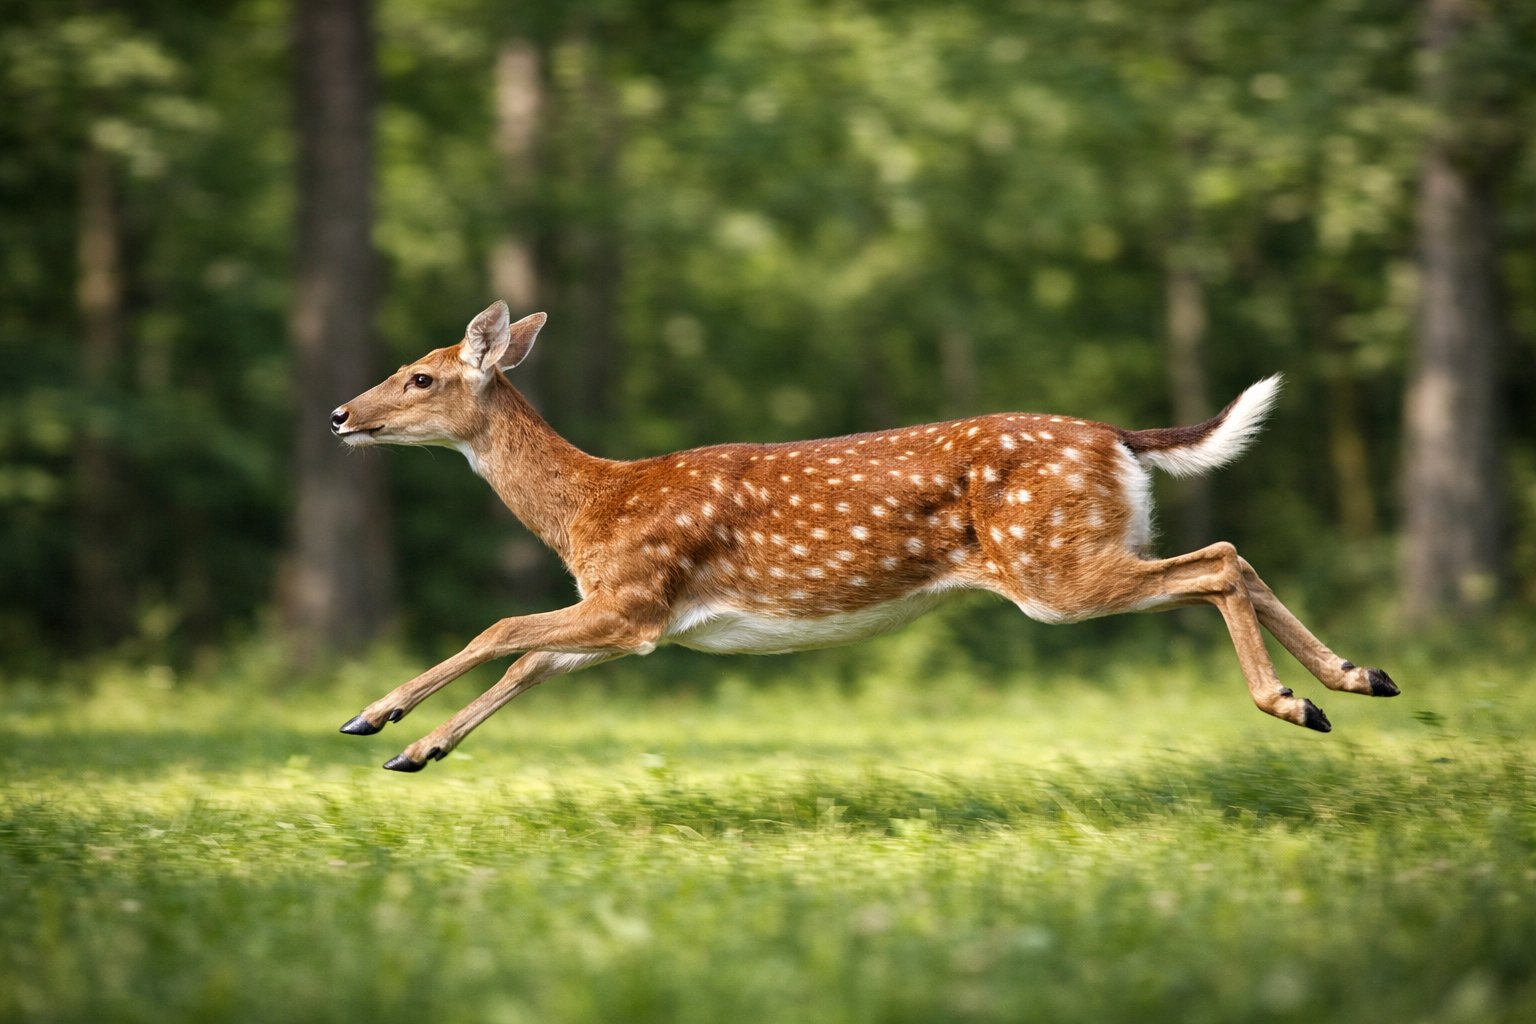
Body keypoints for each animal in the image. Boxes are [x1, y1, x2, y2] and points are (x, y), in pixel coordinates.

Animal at [330, 301, 1398, 772]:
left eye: (422, 376)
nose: (341, 413)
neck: (592, 506)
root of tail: (1118, 439)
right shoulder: (624, 619)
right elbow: (524, 662)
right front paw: (417, 750)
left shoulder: (636, 599)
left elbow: (501, 631)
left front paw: (371, 717)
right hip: (1077, 551)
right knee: (1237, 558)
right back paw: (1359, 677)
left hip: (1052, 565)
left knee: (1216, 563)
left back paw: (1295, 703)